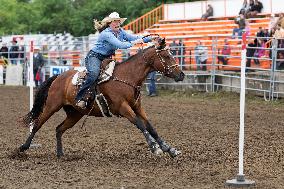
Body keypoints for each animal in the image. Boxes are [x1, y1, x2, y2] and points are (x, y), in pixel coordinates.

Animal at [19, 38, 184, 158]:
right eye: (166, 56)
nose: (181, 74)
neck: (127, 77)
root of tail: (58, 77)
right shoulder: (123, 107)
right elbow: (140, 125)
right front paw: (154, 147)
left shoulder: (137, 107)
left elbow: (150, 126)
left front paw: (169, 149)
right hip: (51, 106)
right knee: (37, 124)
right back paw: (23, 147)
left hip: (75, 113)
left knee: (59, 129)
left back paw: (60, 154)